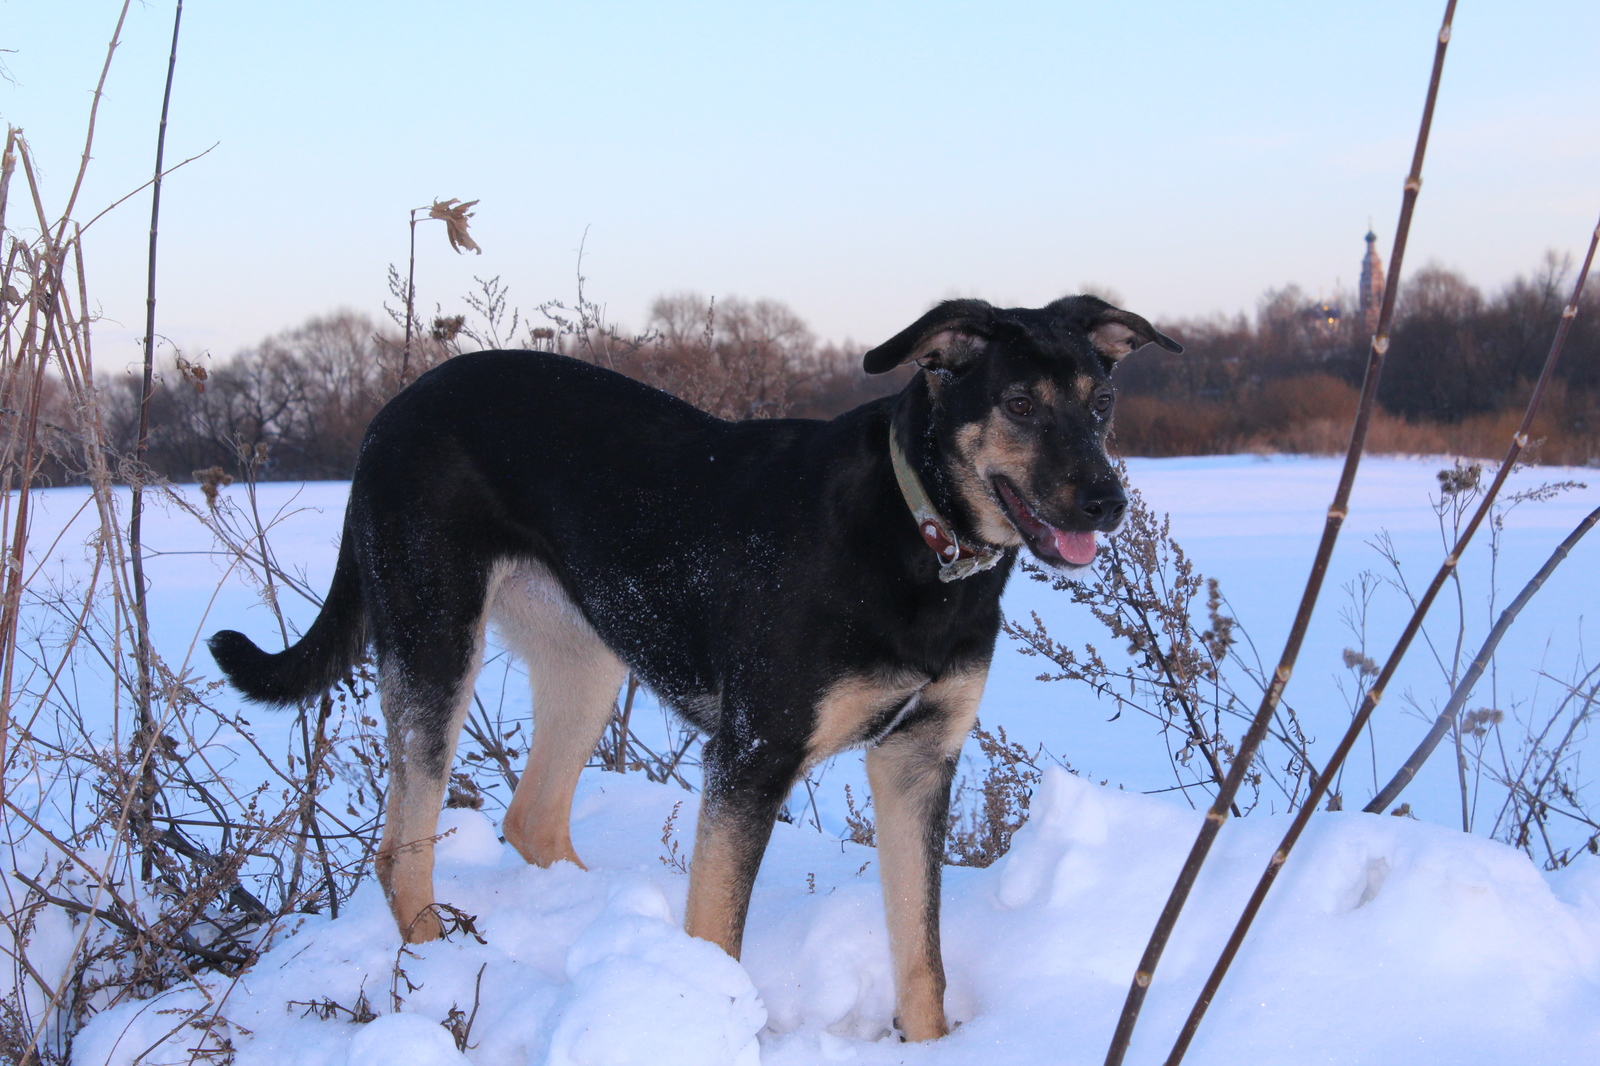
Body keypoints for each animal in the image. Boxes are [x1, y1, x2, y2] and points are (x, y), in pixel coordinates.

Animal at [209, 292, 1177, 1037]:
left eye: (1100, 402)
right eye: (1018, 405)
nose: (1109, 500)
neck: (919, 536)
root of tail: (391, 409)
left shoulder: (917, 761)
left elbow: (922, 957)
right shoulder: (753, 757)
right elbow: (719, 934)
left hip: (587, 660)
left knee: (532, 818)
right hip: (435, 643)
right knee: (402, 853)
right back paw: (441, 976)